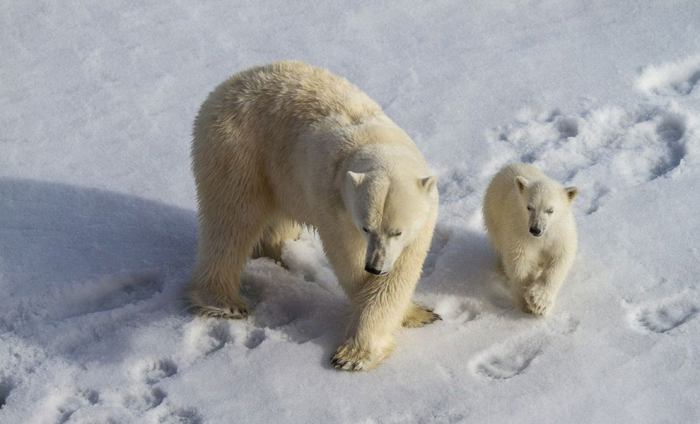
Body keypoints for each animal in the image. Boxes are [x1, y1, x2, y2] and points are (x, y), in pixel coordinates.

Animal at [186, 61, 438, 370]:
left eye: (397, 231)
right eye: (366, 228)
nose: (375, 267)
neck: (375, 141)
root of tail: (224, 87)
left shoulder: (422, 221)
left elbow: (401, 273)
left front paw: (418, 314)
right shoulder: (336, 207)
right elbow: (353, 266)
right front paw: (352, 356)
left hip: (278, 174)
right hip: (237, 150)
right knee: (231, 220)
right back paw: (225, 303)